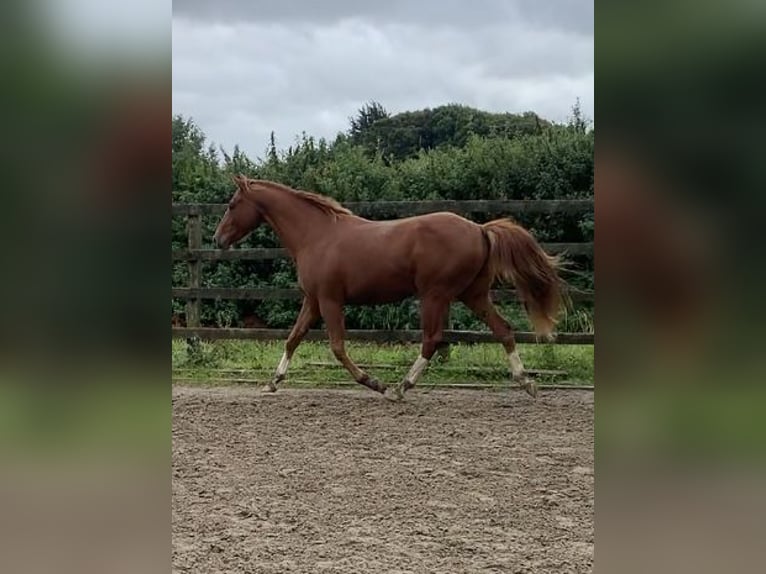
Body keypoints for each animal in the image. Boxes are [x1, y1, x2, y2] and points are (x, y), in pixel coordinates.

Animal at [214, 176, 564, 400]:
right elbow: (293, 339)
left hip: (435, 295)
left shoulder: (330, 300)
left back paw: (400, 387)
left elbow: (337, 347)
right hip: (472, 294)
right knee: (503, 329)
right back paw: (527, 383)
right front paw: (272, 382)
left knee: (432, 339)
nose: (218, 239)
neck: (316, 235)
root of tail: (480, 228)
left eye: (232, 204)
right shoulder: (312, 300)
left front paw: (374, 383)